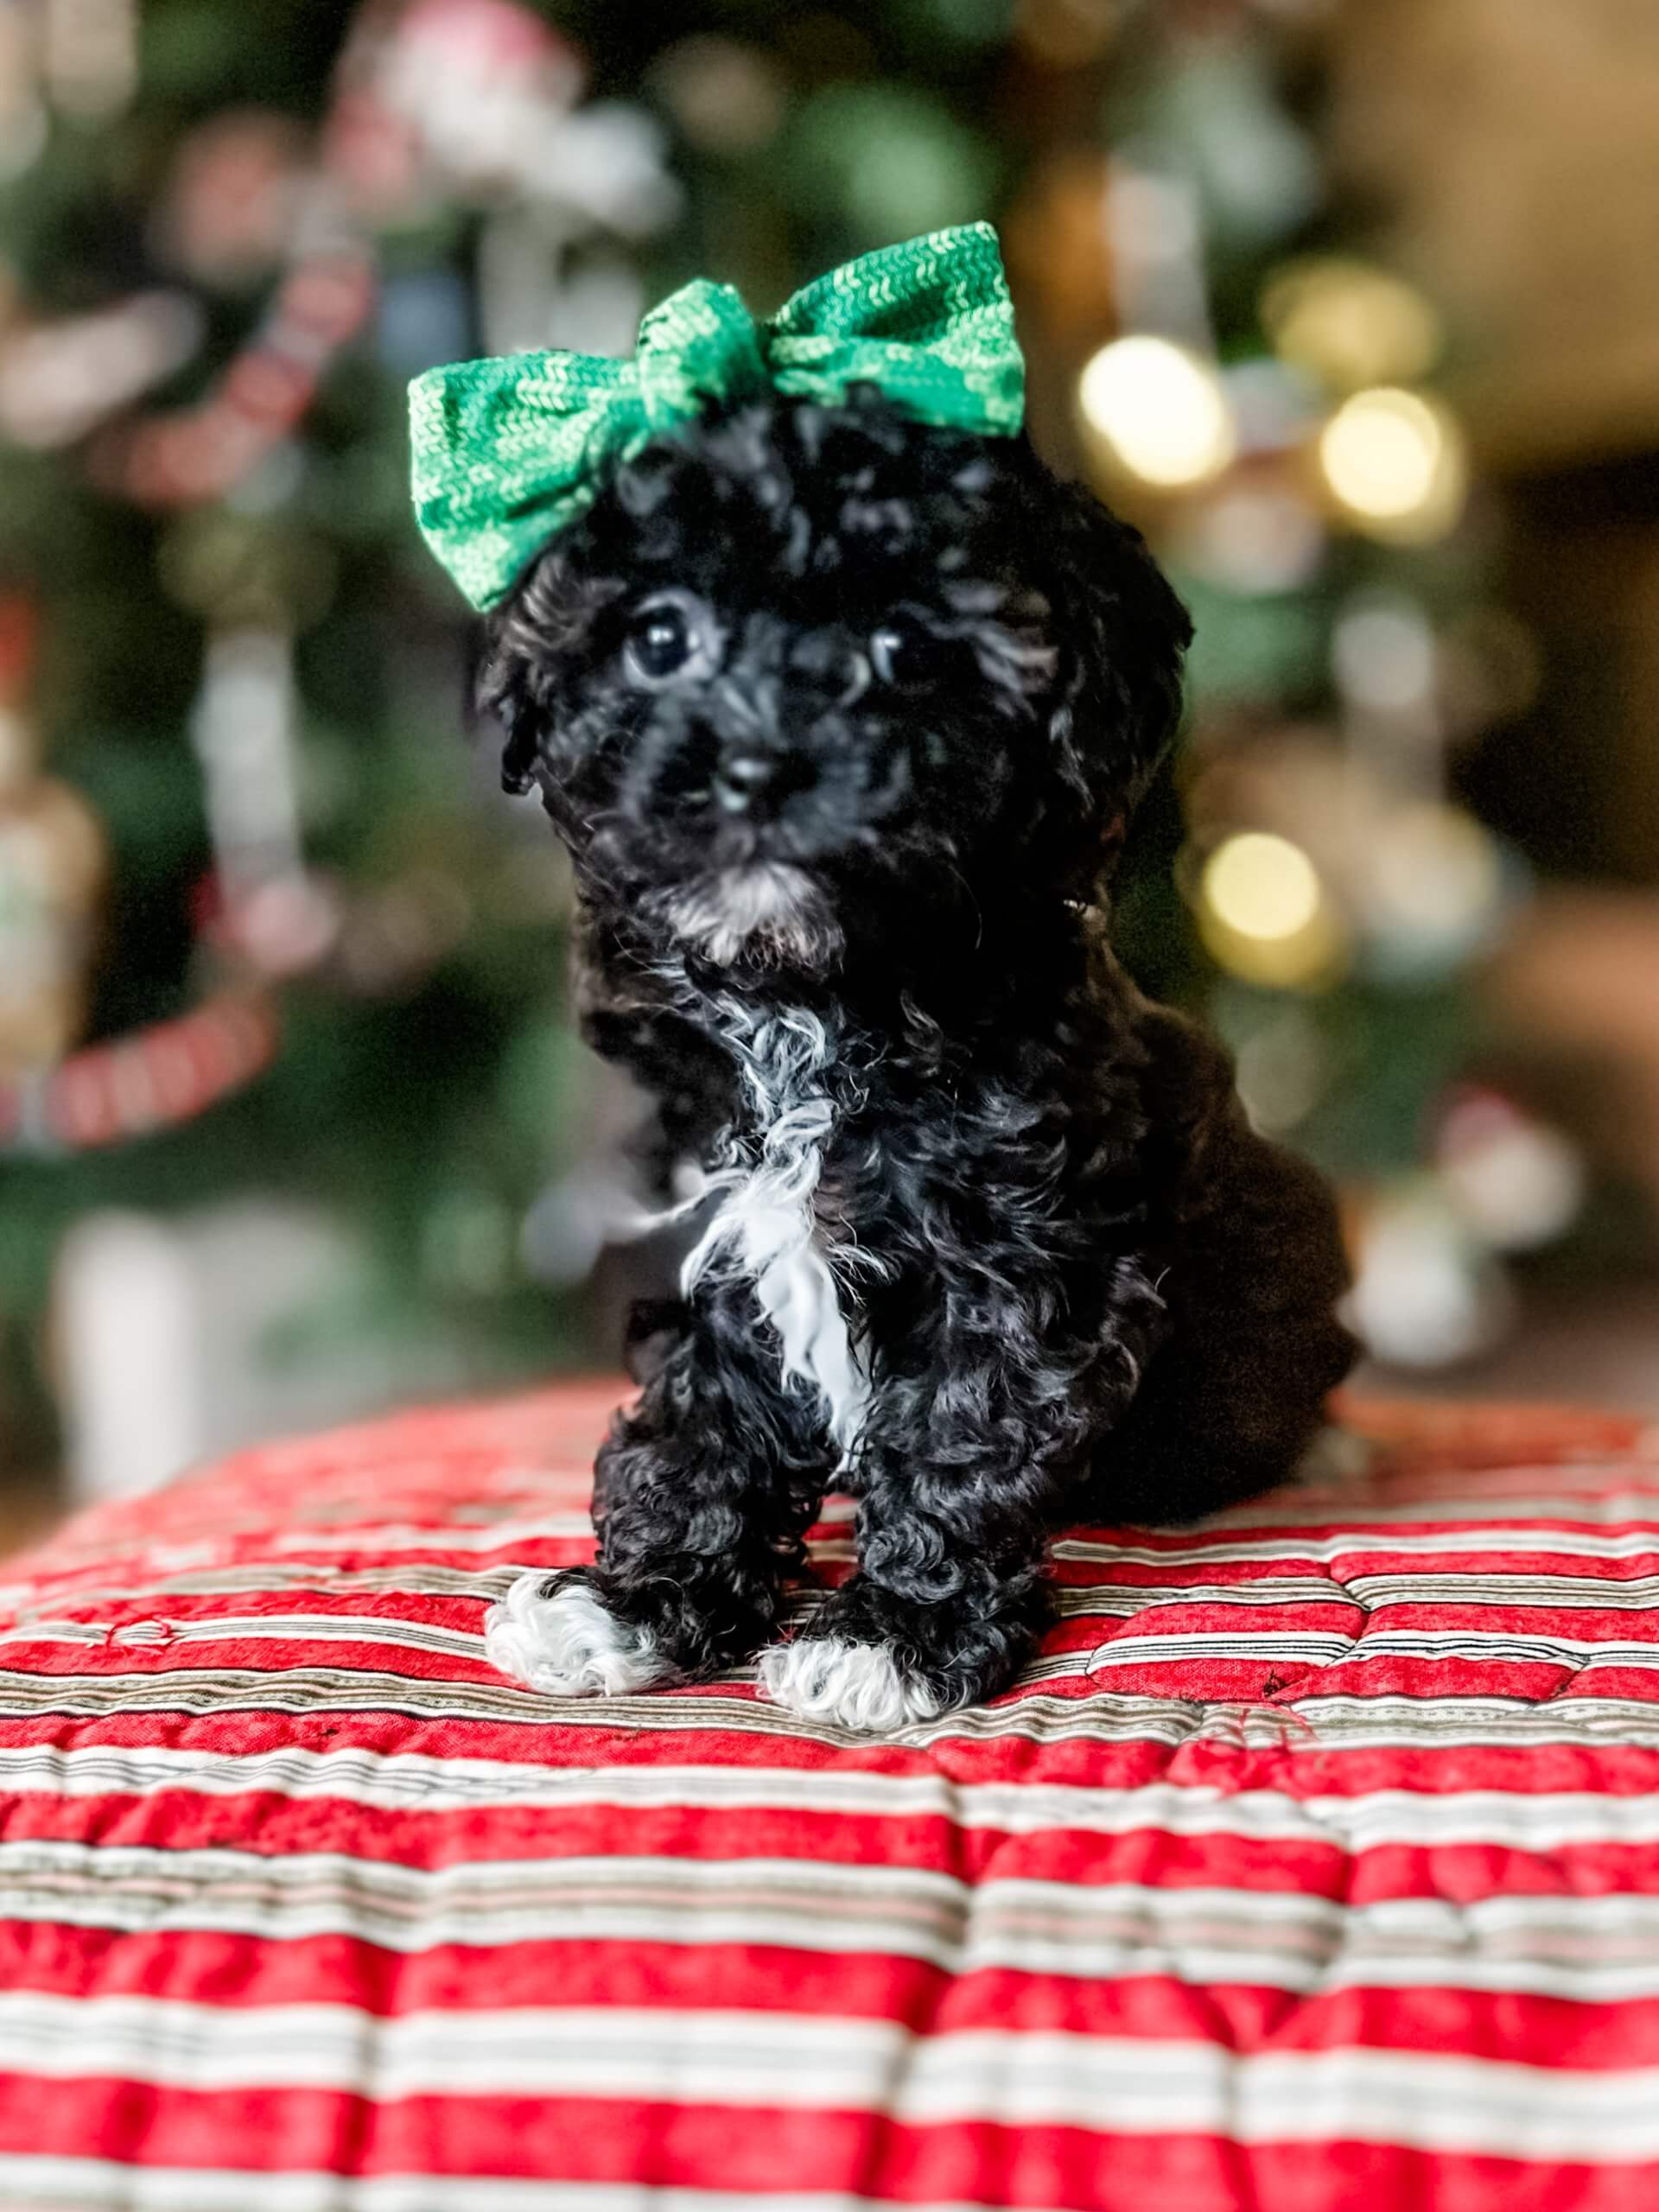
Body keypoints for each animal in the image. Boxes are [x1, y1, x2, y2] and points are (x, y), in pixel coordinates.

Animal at [484, 389, 1362, 1734]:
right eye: (659, 636)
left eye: (907, 648)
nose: (757, 765)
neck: (818, 1003)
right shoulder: (718, 1244)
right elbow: (700, 1421)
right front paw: (638, 1602)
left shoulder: (1023, 1257)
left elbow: (961, 1432)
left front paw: (892, 1634)